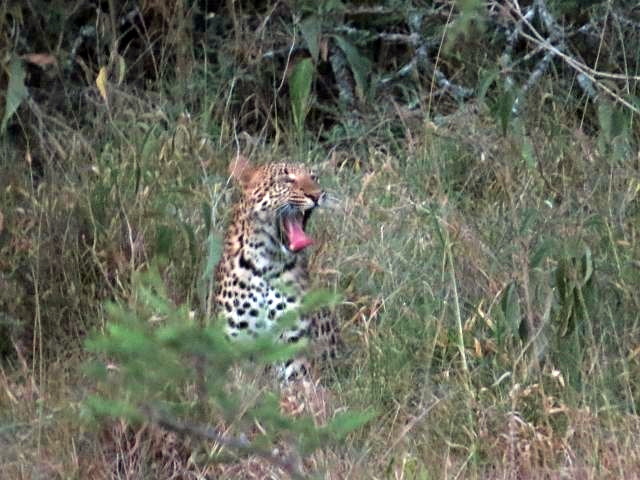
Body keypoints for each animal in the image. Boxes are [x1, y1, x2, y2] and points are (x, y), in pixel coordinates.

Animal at [214, 156, 338, 381]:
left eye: (314, 177)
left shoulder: (292, 342)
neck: (267, 263)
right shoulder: (236, 342)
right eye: (286, 179)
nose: (317, 195)